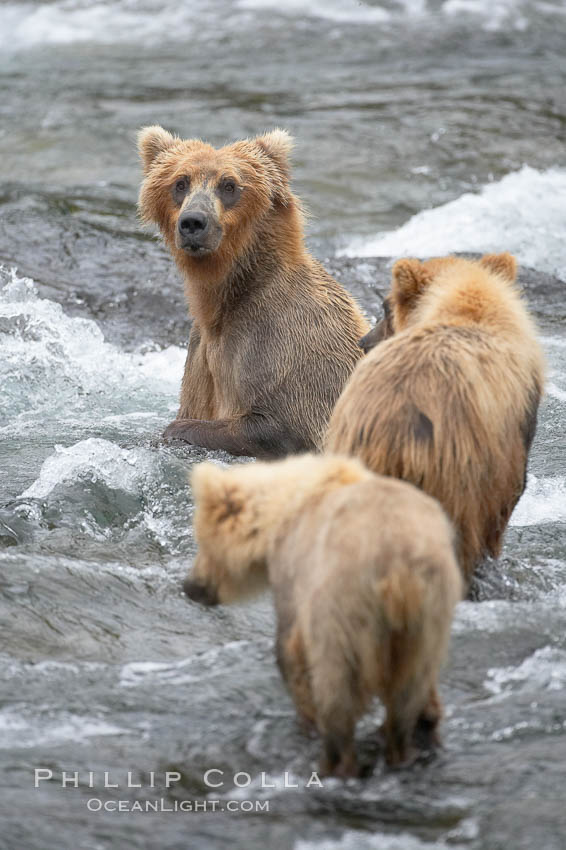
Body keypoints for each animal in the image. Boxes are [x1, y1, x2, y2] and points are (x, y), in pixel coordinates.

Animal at [138, 126, 368, 458]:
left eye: (229, 185)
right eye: (180, 182)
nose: (193, 222)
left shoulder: (285, 340)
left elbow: (278, 425)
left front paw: (175, 431)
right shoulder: (202, 354)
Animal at [184, 454, 464, 780]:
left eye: (201, 542)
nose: (189, 586)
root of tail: (398, 573)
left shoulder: (294, 569)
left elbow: (289, 646)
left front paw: (306, 718)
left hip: (344, 604)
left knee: (336, 687)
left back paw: (335, 761)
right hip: (430, 611)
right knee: (410, 687)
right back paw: (406, 744)